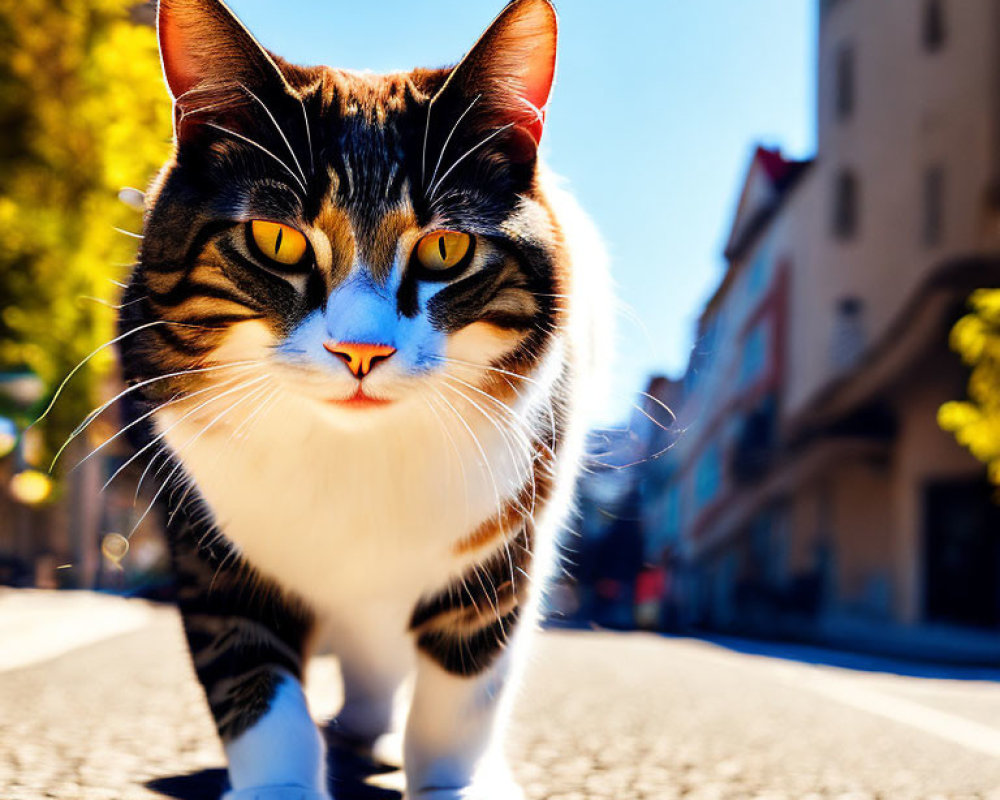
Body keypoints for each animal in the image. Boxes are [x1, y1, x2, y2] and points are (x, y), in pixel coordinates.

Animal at [114, 1, 604, 800]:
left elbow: (465, 676)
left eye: (445, 250)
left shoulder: (506, 528)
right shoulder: (204, 528)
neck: (352, 449)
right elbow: (248, 670)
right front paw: (279, 784)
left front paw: (451, 780)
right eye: (276, 239)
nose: (361, 352)